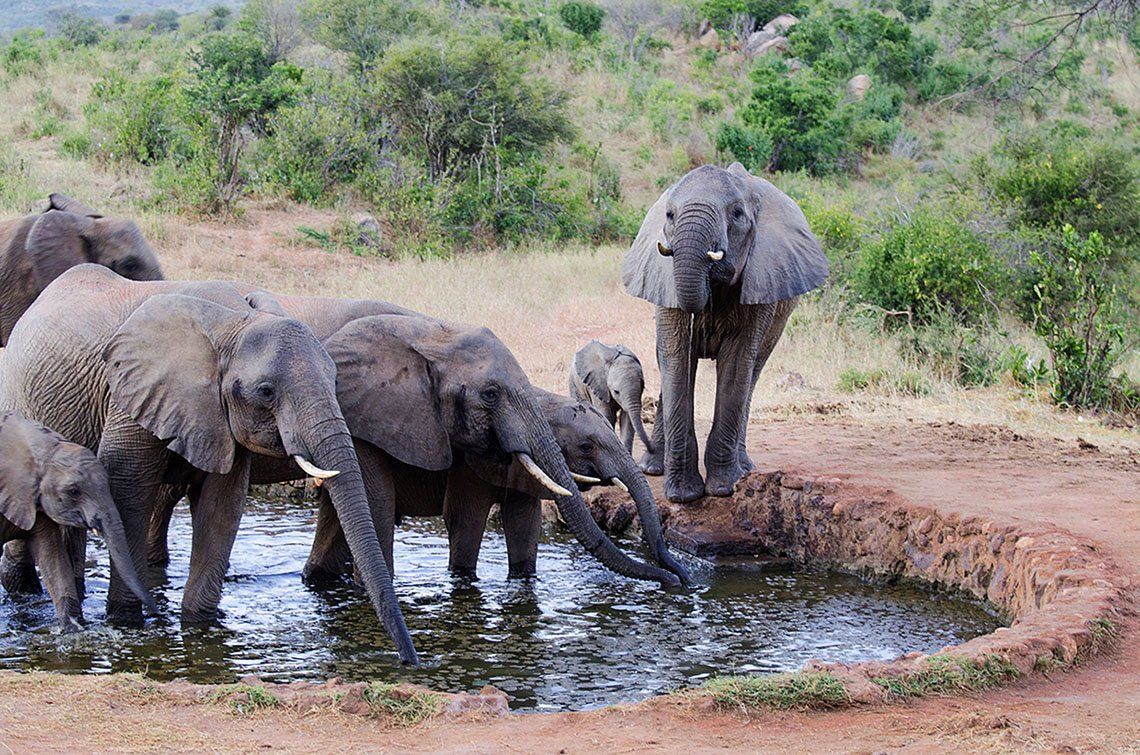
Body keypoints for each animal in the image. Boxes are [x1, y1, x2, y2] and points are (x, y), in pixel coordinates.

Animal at [624, 166, 829, 508]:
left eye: (737, 214)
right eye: (669, 214)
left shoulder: (762, 279)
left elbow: (736, 364)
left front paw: (723, 489)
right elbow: (677, 359)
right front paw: (684, 495)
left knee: (753, 371)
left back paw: (744, 469)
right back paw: (652, 468)